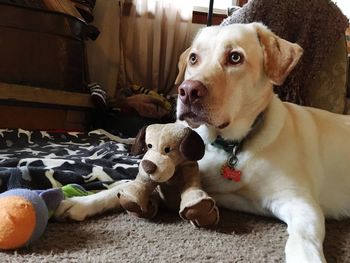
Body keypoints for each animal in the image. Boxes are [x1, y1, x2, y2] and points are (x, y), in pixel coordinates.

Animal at [176, 23, 350, 263]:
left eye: (235, 57)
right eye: (193, 58)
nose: (187, 91)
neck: (234, 146)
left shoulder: (301, 202)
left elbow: (301, 240)